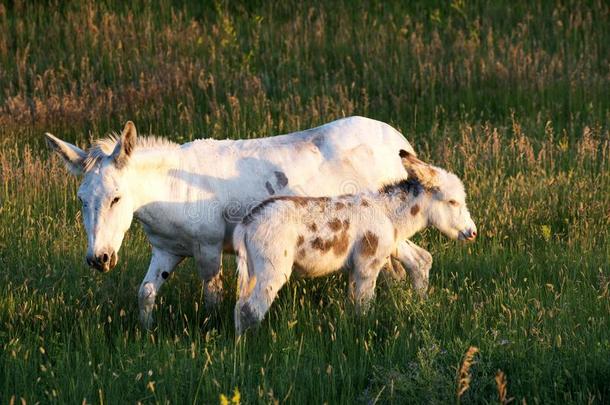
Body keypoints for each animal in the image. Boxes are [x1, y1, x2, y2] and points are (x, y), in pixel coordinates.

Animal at [230, 150, 472, 332]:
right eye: (452, 202)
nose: (472, 232)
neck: (387, 213)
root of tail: (247, 222)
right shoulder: (368, 266)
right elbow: (364, 305)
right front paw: (363, 332)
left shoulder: (356, 269)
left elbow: (354, 303)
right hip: (273, 270)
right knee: (251, 310)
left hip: (252, 271)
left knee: (240, 307)